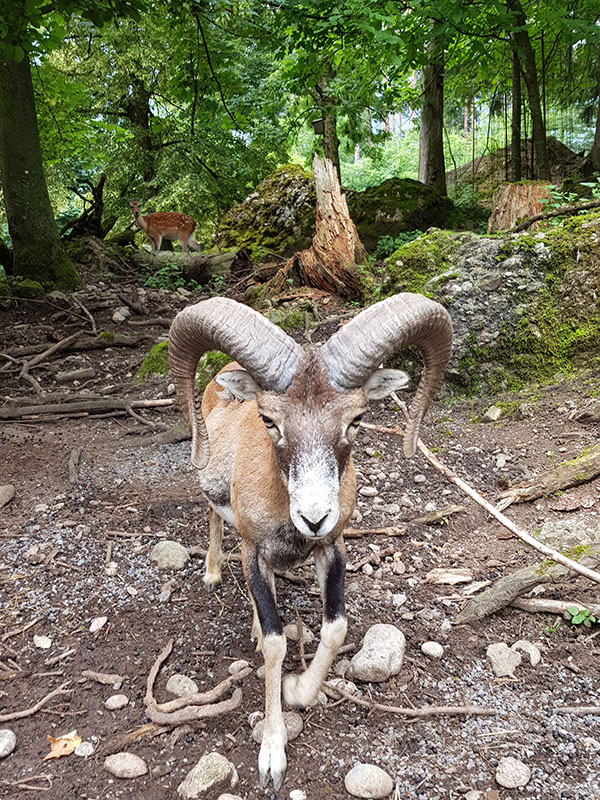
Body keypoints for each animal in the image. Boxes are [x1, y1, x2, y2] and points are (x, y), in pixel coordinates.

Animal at [168, 293, 452, 790]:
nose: (314, 517)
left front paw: (299, 689)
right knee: (213, 516)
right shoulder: (254, 552)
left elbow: (334, 627)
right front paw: (272, 757)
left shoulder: (331, 550)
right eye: (268, 420)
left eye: (357, 419)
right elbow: (277, 643)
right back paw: (213, 573)